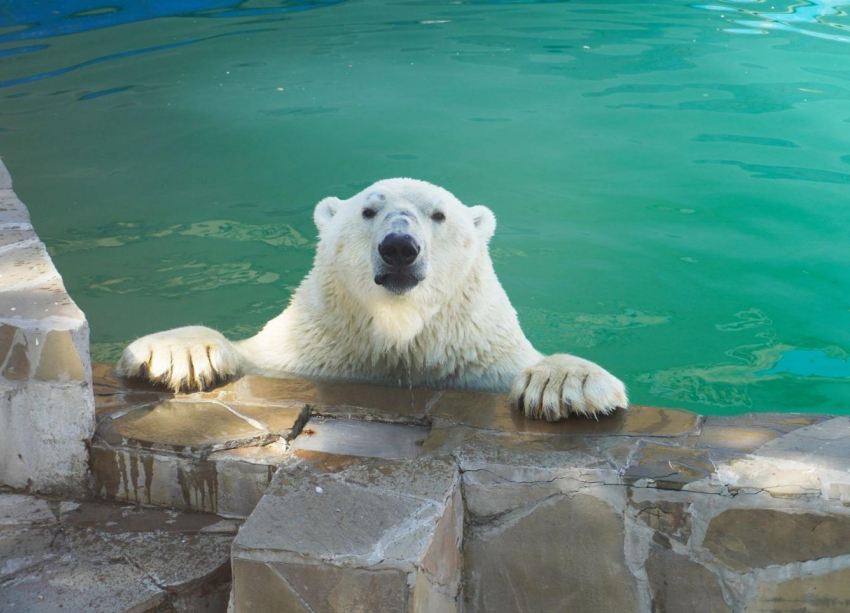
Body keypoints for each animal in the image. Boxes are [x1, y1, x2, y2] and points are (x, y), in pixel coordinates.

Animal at [116, 178, 628, 420]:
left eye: (438, 215)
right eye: (368, 210)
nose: (399, 247)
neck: (398, 336)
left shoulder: (479, 361)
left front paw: (567, 383)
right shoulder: (309, 351)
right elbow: (251, 355)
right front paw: (174, 353)